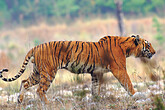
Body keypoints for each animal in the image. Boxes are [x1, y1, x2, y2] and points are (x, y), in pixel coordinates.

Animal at [0, 34, 155, 104]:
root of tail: (36, 46)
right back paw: (48, 104)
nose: (154, 52)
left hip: (38, 72)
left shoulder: (96, 72)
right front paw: (135, 95)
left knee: (24, 82)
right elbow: (128, 83)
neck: (127, 47)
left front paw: (96, 99)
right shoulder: (119, 69)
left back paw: (19, 100)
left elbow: (95, 87)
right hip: (48, 73)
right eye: (148, 45)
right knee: (39, 90)